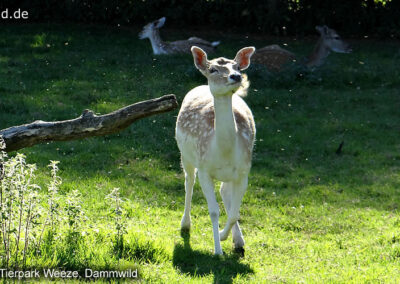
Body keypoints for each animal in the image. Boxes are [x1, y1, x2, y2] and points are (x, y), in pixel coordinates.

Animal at [175, 45, 256, 254]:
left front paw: (223, 235)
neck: (224, 152)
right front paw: (217, 250)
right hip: (185, 155)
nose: (236, 76)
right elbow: (213, 211)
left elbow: (235, 213)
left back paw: (238, 240)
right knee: (188, 181)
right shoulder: (205, 169)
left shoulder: (244, 171)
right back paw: (185, 224)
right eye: (212, 69)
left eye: (237, 66)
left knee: (224, 190)